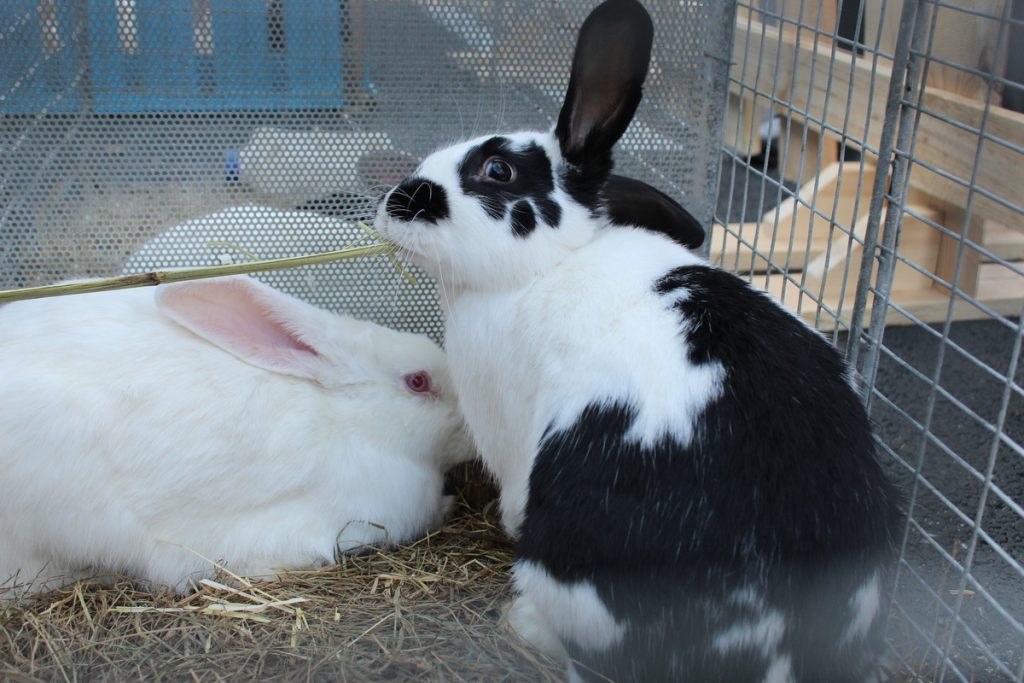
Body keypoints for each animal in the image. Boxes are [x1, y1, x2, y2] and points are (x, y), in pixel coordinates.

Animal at [373, 0, 901, 681]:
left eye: (497, 169)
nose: (393, 202)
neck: (549, 265)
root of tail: (772, 647)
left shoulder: (509, 433)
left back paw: (524, 621)